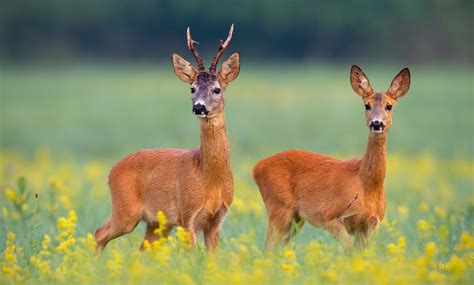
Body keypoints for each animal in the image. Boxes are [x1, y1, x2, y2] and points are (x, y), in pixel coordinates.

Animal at [94, 25, 239, 251]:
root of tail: (111, 170)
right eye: (192, 88)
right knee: (99, 233)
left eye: (217, 89)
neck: (209, 178)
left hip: (157, 223)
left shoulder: (217, 220)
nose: (199, 107)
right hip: (126, 211)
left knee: (142, 248)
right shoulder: (187, 215)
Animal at [252, 65, 412, 247]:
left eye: (389, 106)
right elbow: (348, 250)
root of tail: (256, 168)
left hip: (296, 218)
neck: (366, 184)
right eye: (367, 105)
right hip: (279, 207)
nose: (377, 123)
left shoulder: (369, 225)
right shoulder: (331, 216)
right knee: (267, 246)